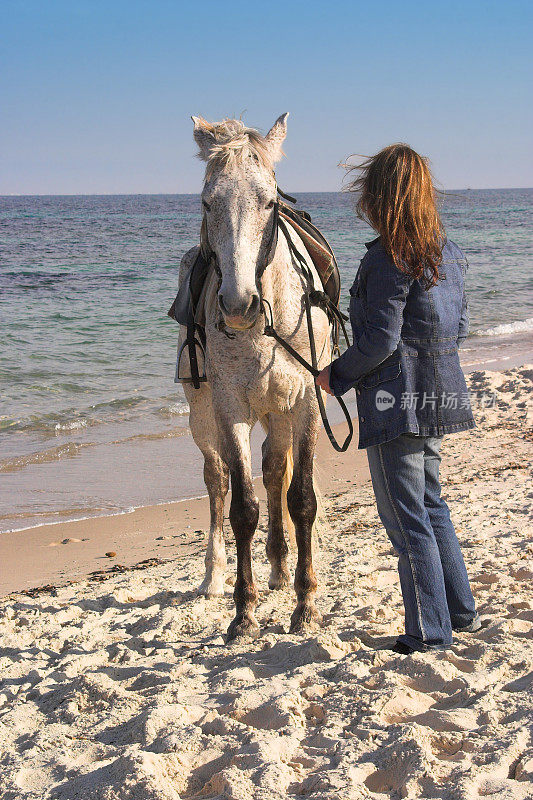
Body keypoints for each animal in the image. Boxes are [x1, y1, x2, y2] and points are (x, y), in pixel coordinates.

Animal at [177, 112, 330, 640]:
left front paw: (305, 604)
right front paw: (243, 611)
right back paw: (214, 577)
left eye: (269, 200)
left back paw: (282, 570)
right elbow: (243, 507)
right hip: (202, 418)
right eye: (207, 200)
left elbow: (300, 498)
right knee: (217, 480)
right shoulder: (231, 408)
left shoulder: (306, 402)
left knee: (275, 469)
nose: (237, 305)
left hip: (279, 411)